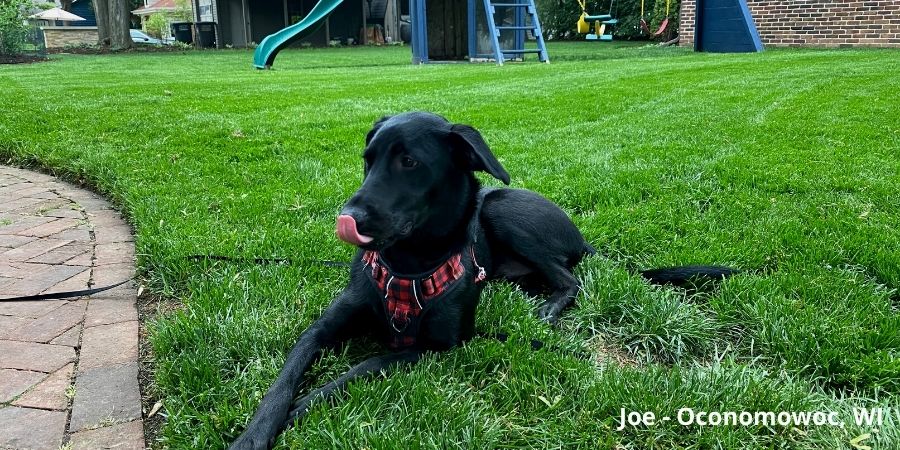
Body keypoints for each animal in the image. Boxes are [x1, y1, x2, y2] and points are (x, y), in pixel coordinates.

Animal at [230, 110, 732, 448]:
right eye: (367, 160)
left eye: (409, 162)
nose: (347, 218)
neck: (409, 265)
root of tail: (580, 234)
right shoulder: (322, 327)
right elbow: (284, 378)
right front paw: (256, 431)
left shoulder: (436, 347)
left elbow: (361, 366)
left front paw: (304, 406)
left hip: (501, 208)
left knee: (570, 279)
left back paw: (548, 309)